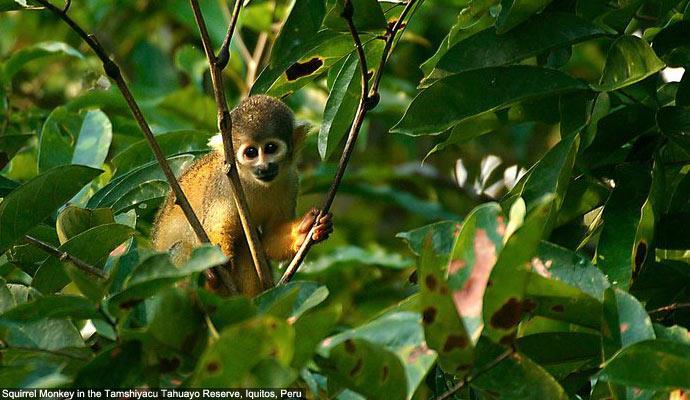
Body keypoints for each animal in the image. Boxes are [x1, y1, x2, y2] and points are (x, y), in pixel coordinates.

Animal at [151, 96, 334, 296]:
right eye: (251, 152)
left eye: (270, 148)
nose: (264, 167)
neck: (252, 181)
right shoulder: (224, 184)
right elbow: (216, 227)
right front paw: (216, 261)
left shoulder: (291, 180)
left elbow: (268, 240)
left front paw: (303, 232)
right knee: (180, 249)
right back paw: (211, 283)